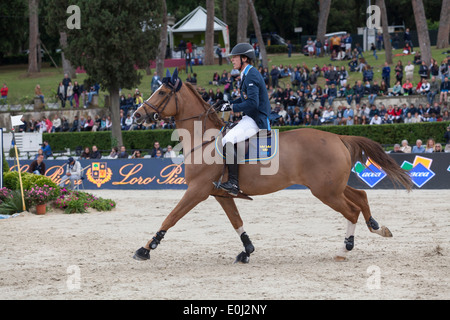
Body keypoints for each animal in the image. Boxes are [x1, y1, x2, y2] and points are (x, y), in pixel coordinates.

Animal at [130, 69, 412, 262]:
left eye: (162, 93)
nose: (136, 115)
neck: (204, 141)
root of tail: (338, 137)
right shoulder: (219, 194)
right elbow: (236, 221)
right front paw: (247, 251)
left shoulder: (197, 191)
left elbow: (172, 216)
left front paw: (146, 248)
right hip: (333, 186)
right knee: (361, 196)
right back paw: (378, 227)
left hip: (325, 191)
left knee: (351, 210)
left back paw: (345, 248)